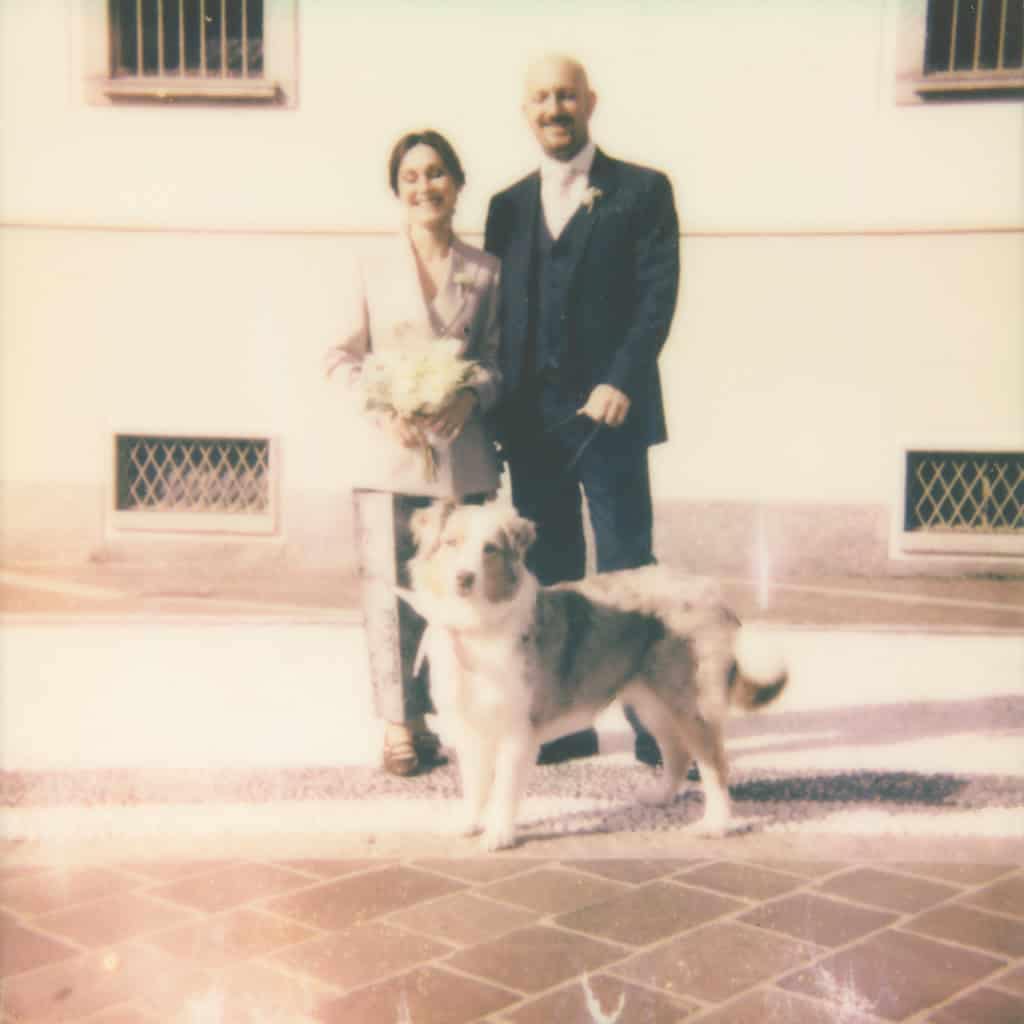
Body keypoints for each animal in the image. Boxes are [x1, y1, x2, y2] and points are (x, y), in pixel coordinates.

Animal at [398, 499, 788, 851]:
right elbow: (475, 787)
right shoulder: (469, 729)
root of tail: (714, 594)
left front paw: (498, 835)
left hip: (692, 703)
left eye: (490, 549)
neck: (475, 626)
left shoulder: (516, 731)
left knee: (715, 766)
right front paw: (466, 825)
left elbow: (504, 790)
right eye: (450, 542)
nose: (464, 579)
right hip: (653, 703)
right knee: (677, 754)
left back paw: (715, 826)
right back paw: (659, 797)